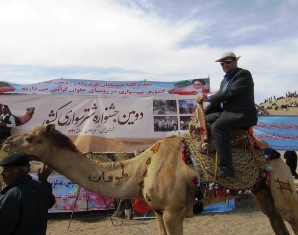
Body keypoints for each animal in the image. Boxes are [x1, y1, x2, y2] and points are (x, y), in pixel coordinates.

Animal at [0, 124, 298, 234]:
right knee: (273, 217)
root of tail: (270, 150)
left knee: (288, 214)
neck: (141, 167)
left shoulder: (173, 211)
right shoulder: (157, 212)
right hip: (261, 189)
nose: (7, 142)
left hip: (281, 181)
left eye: (32, 138)